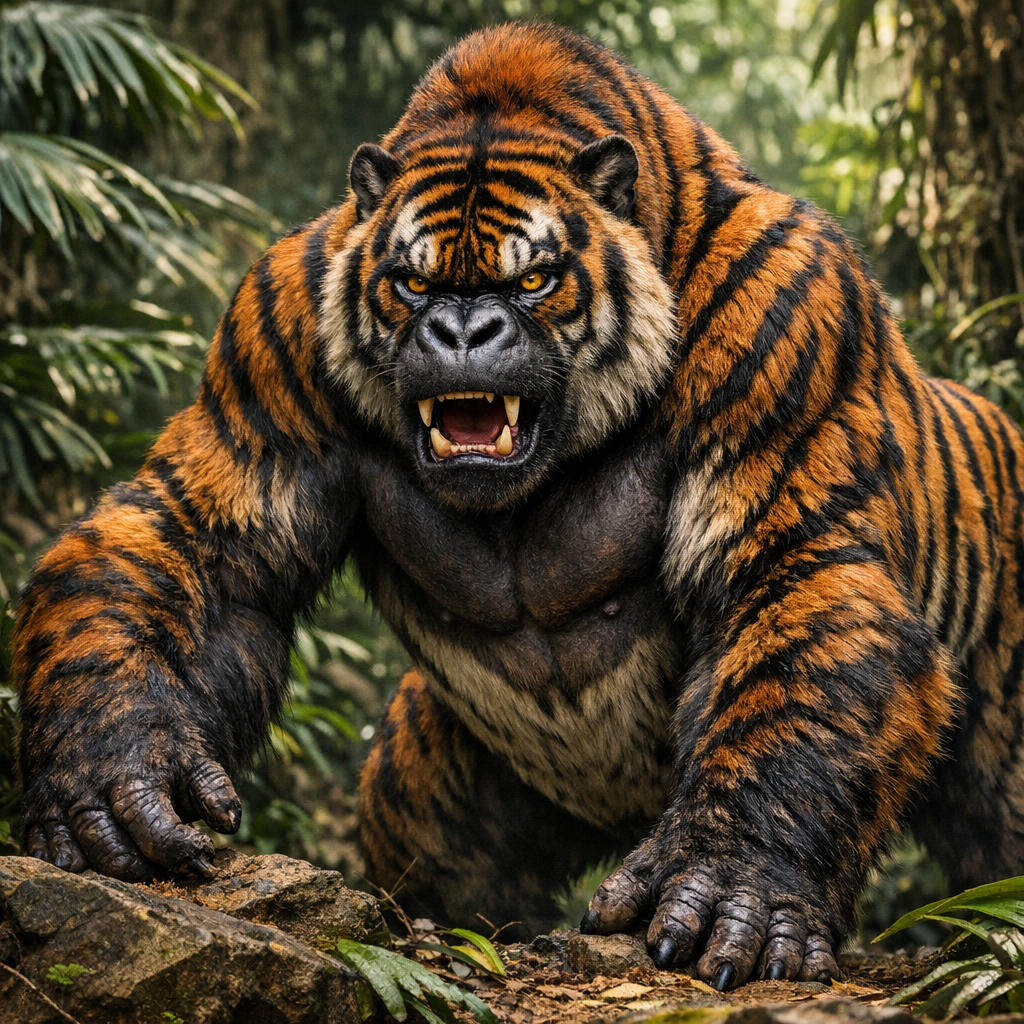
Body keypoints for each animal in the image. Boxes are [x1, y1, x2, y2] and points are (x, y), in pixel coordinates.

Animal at [13, 21, 1024, 990]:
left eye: (531, 278)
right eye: (415, 281)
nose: (464, 331)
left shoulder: (792, 361)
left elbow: (791, 659)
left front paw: (733, 893)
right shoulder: (267, 354)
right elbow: (189, 553)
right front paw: (113, 783)